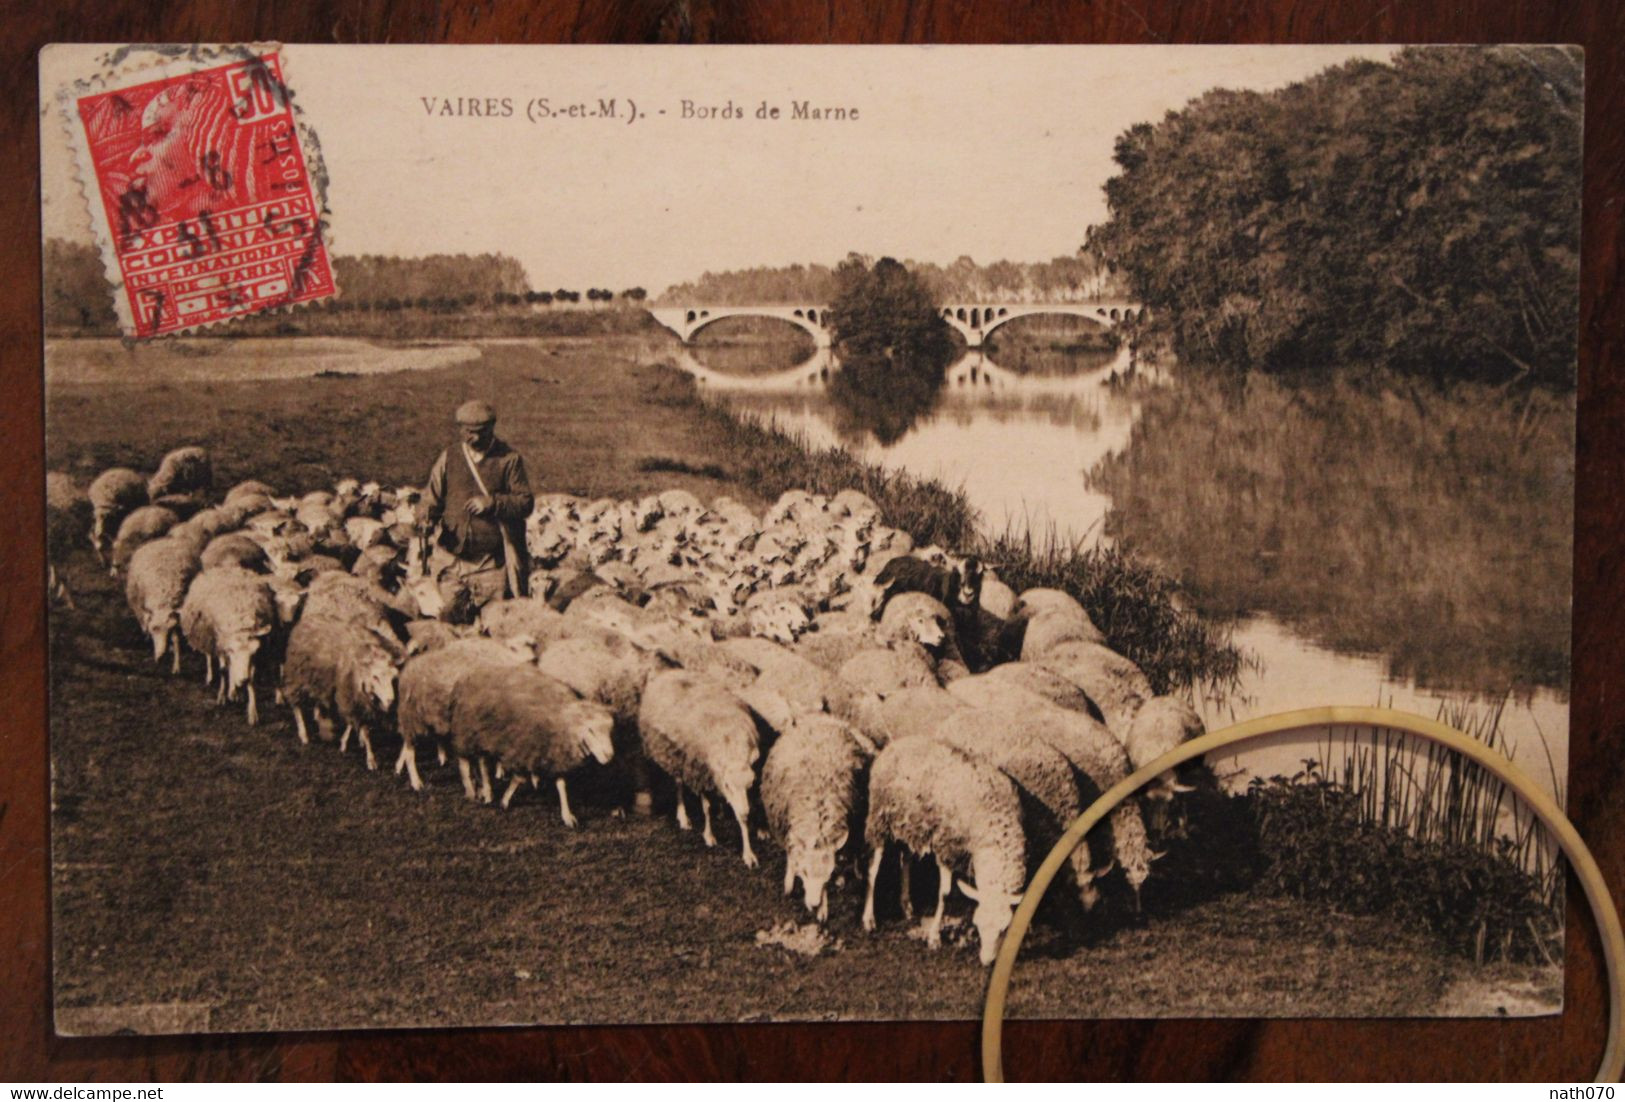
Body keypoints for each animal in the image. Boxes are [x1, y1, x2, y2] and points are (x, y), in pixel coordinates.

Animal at [633, 669, 760, 864]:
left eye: (751, 784)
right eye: (728, 785)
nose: (745, 812)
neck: (731, 744)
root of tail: (669, 672)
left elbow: (743, 814)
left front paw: (749, 852)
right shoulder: (701, 771)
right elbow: (706, 808)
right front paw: (709, 835)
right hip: (677, 755)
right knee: (678, 784)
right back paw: (683, 817)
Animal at [858, 741, 1020, 968]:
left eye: (1005, 928)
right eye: (977, 923)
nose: (987, 961)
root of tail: (896, 744)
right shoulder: (946, 845)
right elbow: (945, 893)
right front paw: (934, 937)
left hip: (910, 824)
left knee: (905, 859)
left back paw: (906, 905)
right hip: (881, 819)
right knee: (874, 869)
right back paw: (869, 918)